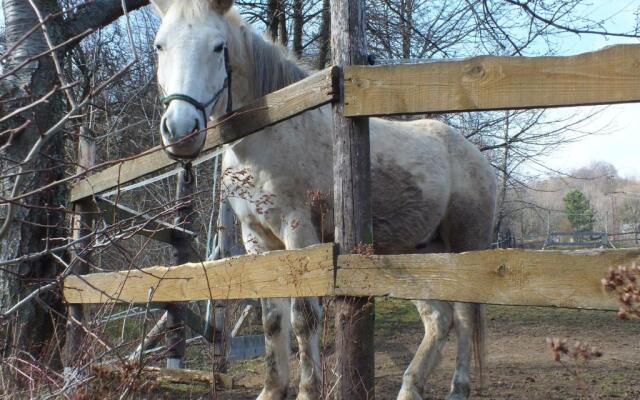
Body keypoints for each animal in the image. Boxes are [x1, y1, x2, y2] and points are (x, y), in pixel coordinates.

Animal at [152, 1, 498, 398]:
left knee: (465, 317)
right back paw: (410, 387)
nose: (180, 131)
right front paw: (272, 389)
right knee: (439, 320)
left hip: (464, 248)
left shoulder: (299, 233)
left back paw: (458, 388)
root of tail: (475, 157)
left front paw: (306, 389)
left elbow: (303, 319)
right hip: (417, 254)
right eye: (160, 46)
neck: (272, 134)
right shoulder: (257, 240)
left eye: (218, 46)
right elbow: (273, 321)